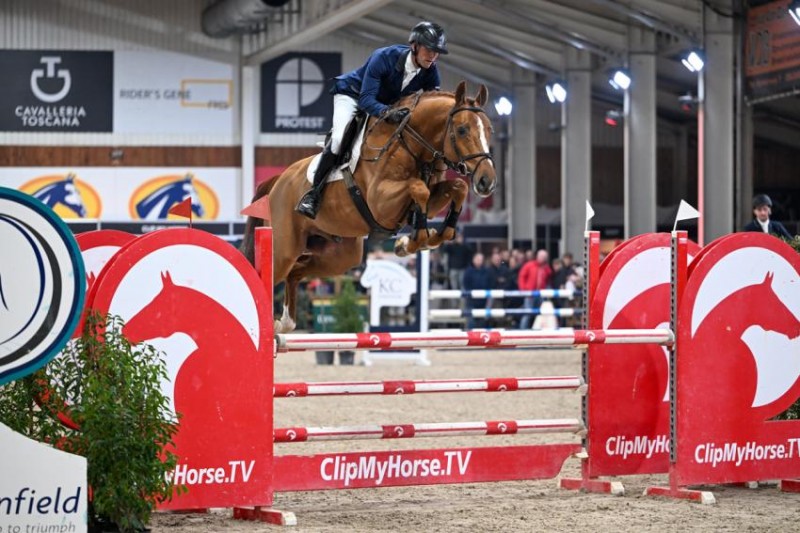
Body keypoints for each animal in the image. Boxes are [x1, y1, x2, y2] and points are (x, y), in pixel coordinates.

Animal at [240, 81, 497, 333]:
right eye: (462, 130)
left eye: (489, 130)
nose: (487, 181)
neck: (411, 146)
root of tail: (277, 181)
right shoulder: (381, 203)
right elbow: (418, 189)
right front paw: (417, 239)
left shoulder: (430, 198)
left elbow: (457, 188)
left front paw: (426, 237)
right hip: (284, 249)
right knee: (271, 273)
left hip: (341, 256)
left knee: (295, 272)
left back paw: (284, 323)